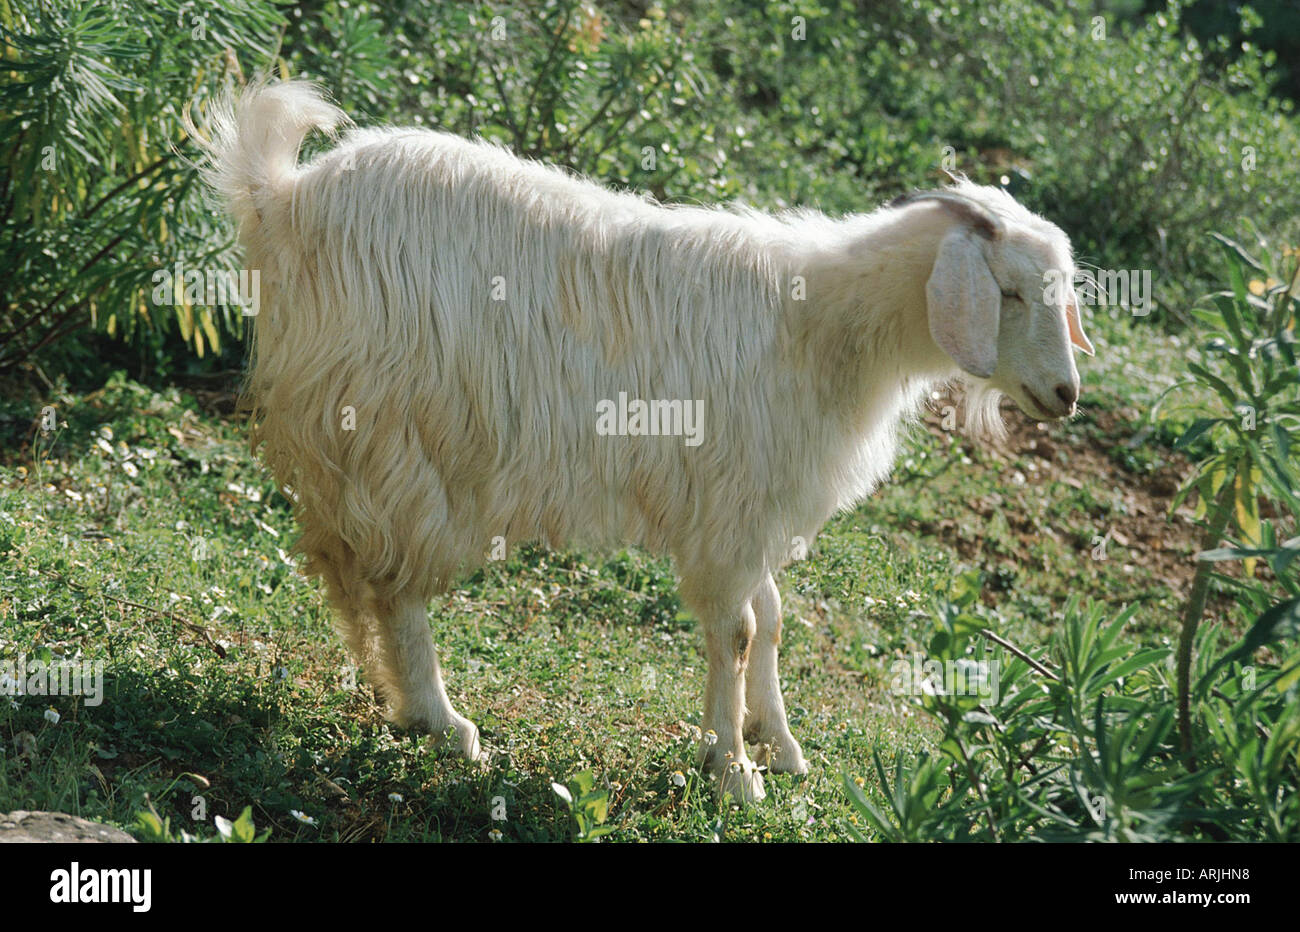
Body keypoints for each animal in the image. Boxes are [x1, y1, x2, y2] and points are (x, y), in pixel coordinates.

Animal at [190, 81, 1093, 803]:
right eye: (1011, 291)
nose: (1066, 395)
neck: (823, 325)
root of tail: (283, 197)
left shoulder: (753, 507)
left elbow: (771, 619)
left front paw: (778, 745)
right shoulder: (731, 504)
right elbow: (737, 631)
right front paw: (735, 773)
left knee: (362, 571)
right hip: (405, 434)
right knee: (396, 583)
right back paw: (442, 722)